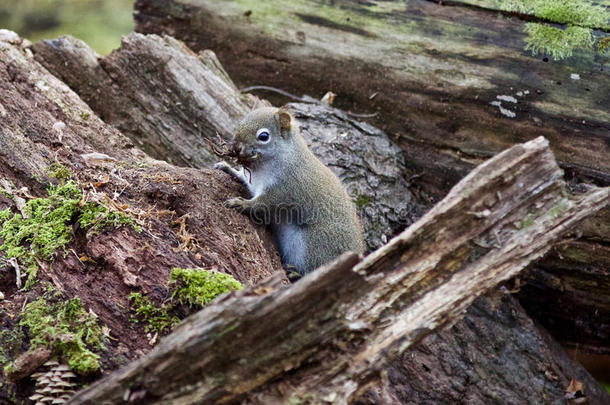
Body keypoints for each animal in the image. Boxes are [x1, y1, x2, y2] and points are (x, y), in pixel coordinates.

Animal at [216, 105, 364, 274]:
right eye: (240, 123)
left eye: (264, 136)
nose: (236, 146)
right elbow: (243, 177)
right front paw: (227, 167)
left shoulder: (285, 190)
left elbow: (262, 204)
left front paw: (241, 203)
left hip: (314, 244)